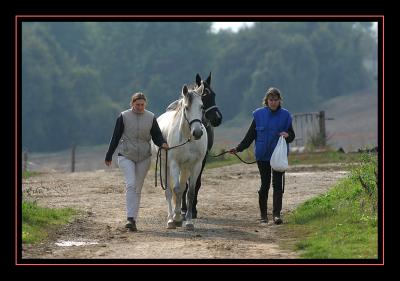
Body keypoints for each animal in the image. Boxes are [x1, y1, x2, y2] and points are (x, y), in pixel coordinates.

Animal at [155, 83, 208, 230]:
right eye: (186, 107)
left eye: (202, 106)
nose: (197, 132)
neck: (187, 138)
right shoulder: (174, 164)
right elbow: (176, 190)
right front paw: (177, 218)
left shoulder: (196, 165)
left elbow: (190, 192)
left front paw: (188, 222)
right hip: (165, 166)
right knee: (169, 191)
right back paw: (170, 219)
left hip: (185, 168)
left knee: (183, 189)